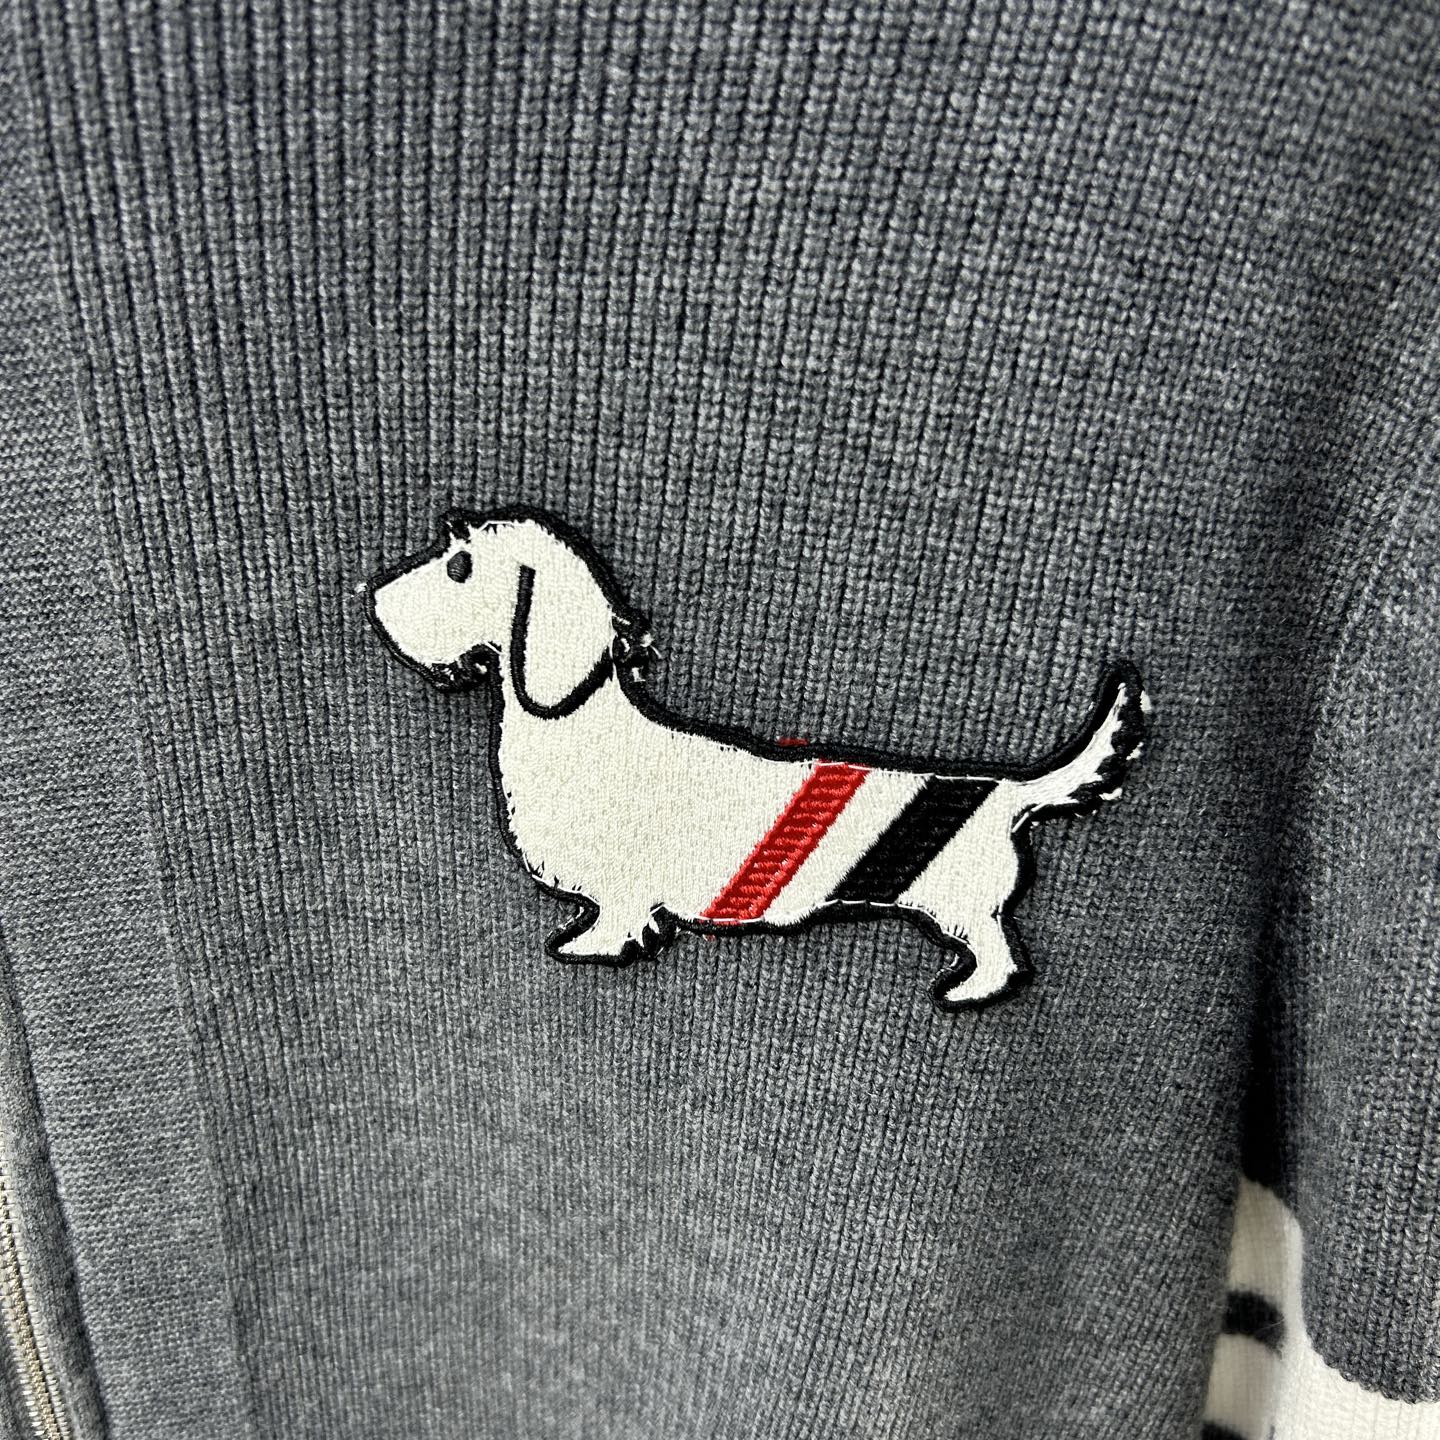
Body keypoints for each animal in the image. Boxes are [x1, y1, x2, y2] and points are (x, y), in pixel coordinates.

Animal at [366, 507, 1148, 1009]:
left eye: (461, 567)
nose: (373, 596)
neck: (576, 725)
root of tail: (1005, 791)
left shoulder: (623, 886)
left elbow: (615, 919)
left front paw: (592, 948)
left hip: (960, 903)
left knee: (997, 952)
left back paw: (966, 988)